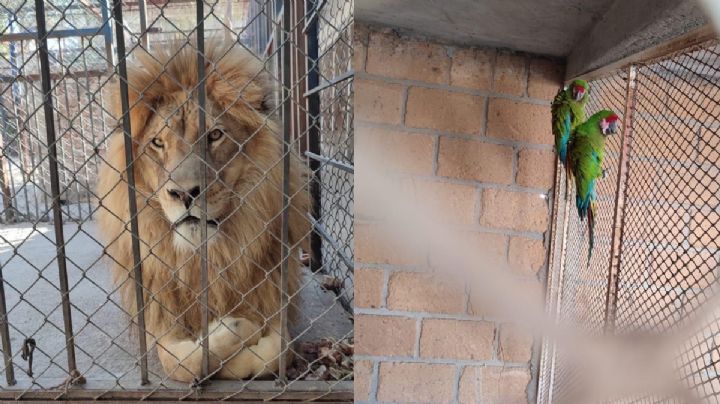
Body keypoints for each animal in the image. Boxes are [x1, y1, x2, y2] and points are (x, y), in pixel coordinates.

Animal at [96, 38, 309, 382]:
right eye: (158, 143)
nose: (185, 193)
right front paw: (235, 329)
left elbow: (276, 354)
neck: (205, 257)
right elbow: (186, 362)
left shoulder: (274, 299)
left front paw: (240, 333)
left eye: (215, 135)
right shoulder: (161, 320)